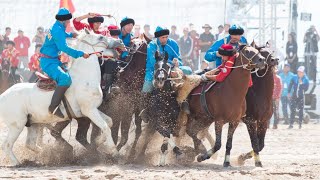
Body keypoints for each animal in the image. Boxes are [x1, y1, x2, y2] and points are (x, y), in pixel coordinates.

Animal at [0, 29, 124, 166]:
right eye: (101, 37)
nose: (120, 41)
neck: (83, 78)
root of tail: (3, 95)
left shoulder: (92, 110)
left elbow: (109, 122)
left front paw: (98, 141)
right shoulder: (89, 111)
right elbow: (105, 127)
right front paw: (114, 152)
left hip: (33, 123)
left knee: (30, 144)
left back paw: (45, 155)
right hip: (17, 125)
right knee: (6, 145)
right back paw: (17, 163)